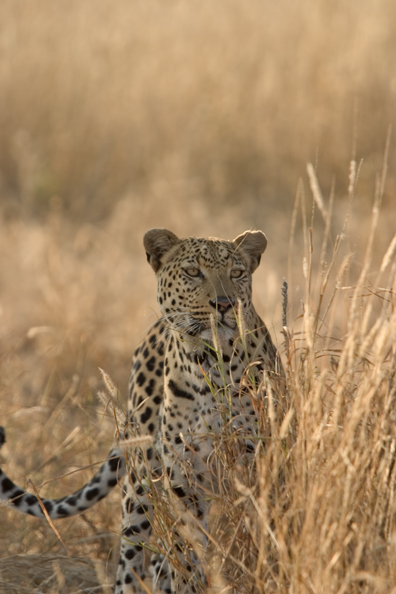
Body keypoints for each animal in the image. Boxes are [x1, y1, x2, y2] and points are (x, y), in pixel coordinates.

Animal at [0, 228, 284, 592]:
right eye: (193, 272)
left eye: (237, 273)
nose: (224, 304)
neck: (209, 365)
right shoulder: (183, 476)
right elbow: (187, 548)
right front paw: (191, 583)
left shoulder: (257, 461)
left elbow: (258, 532)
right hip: (140, 480)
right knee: (133, 557)